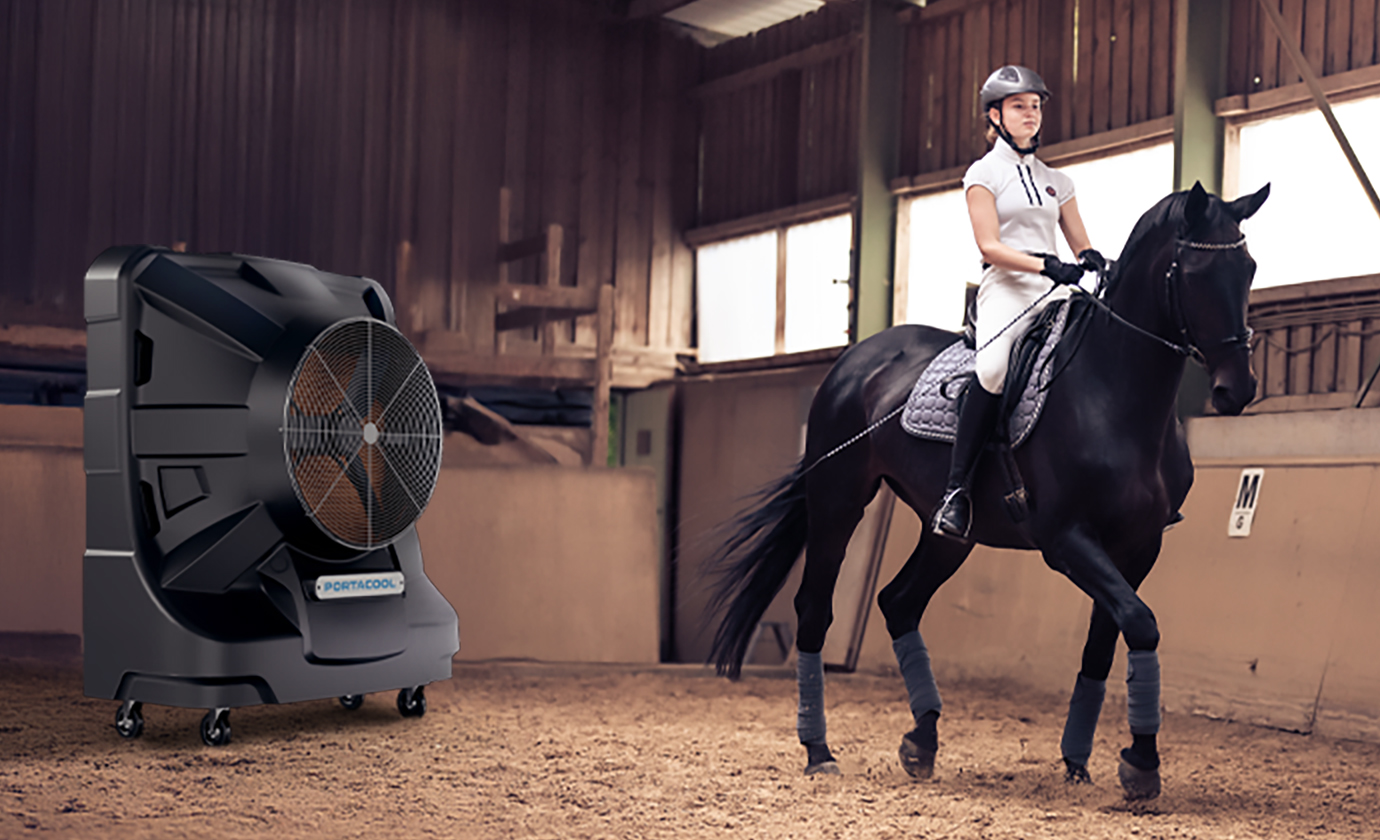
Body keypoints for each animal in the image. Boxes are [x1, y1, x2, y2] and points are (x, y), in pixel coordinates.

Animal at [706, 182, 1264, 800]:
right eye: (1194, 271)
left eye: (1248, 268)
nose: (1238, 389)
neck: (1114, 396)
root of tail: (857, 358)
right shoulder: (1066, 539)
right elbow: (1139, 623)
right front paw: (1141, 763)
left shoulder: (1139, 547)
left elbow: (1110, 638)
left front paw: (1082, 763)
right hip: (838, 501)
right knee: (814, 609)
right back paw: (819, 751)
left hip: (949, 532)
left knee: (899, 601)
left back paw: (922, 741)